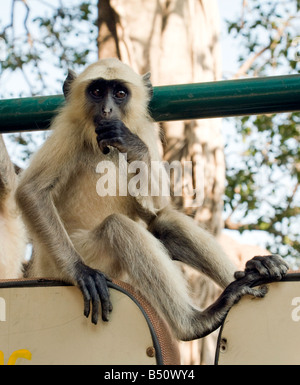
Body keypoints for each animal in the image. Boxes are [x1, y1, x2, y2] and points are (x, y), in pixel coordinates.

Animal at [15, 57, 288, 340]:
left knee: (165, 220)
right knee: (118, 226)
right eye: (98, 91)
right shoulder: (69, 130)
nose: (107, 109)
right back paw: (196, 323)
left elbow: (155, 208)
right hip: (70, 259)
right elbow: (31, 191)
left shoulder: (144, 132)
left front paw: (132, 145)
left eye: (120, 93)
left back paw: (254, 272)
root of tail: (40, 267)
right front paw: (81, 271)